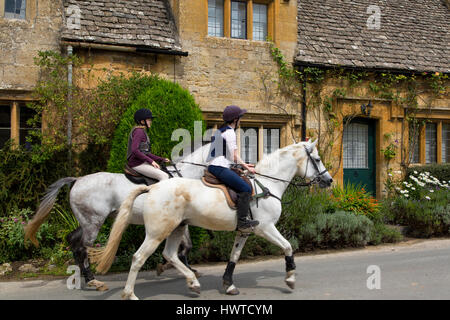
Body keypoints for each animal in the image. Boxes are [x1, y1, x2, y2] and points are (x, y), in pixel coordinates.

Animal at [89, 139, 334, 298]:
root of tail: (153, 188)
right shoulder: (265, 228)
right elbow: (288, 246)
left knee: (170, 255)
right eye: (317, 159)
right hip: (157, 232)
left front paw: (228, 285)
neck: (267, 183)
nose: (329, 180)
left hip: (177, 228)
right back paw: (130, 294)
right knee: (139, 258)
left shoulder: (245, 231)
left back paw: (193, 282)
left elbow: (234, 257)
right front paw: (290, 278)